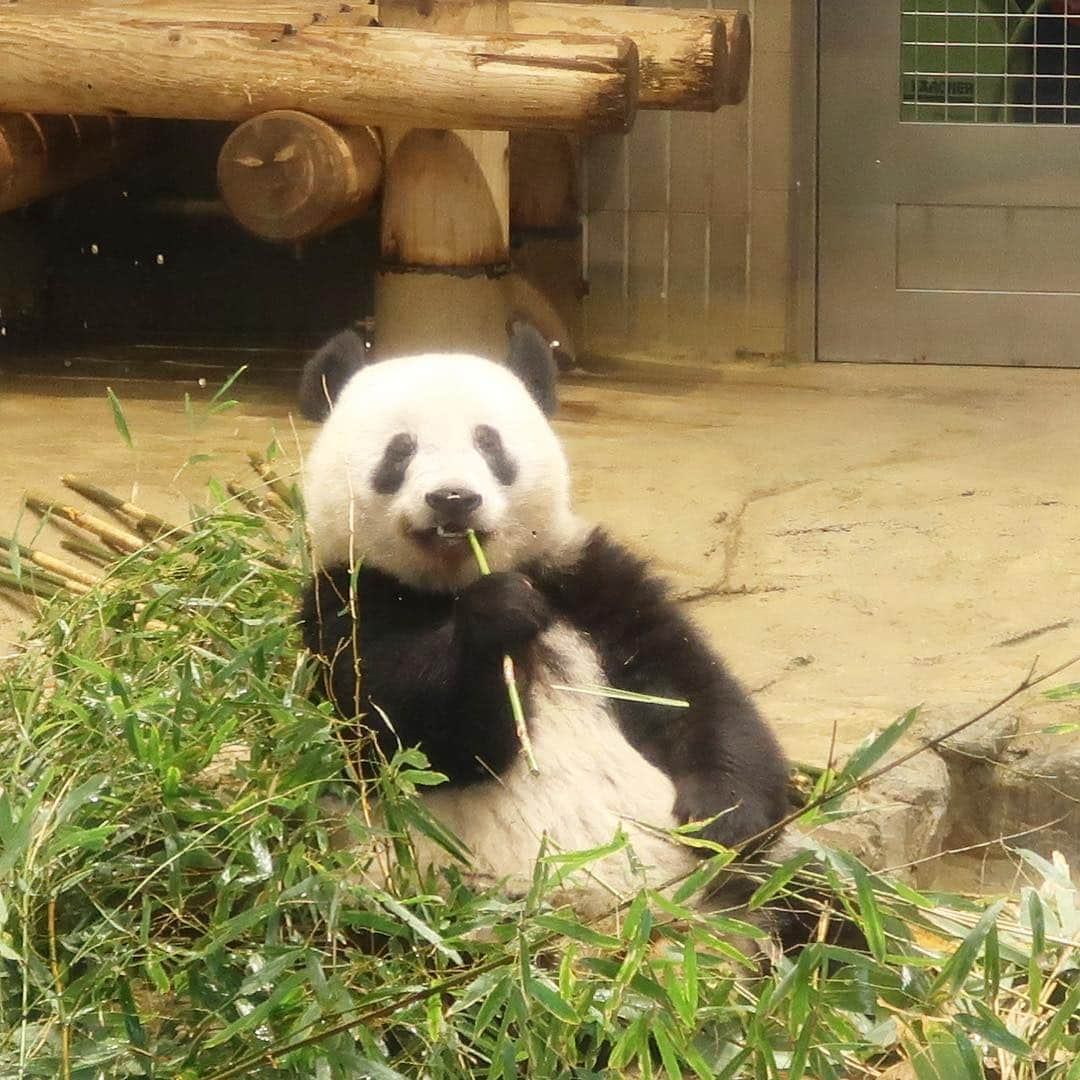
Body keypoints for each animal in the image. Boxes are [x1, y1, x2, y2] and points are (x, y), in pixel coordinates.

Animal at [295, 326, 825, 946]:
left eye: (489, 443)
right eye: (400, 450)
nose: (453, 499)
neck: (452, 584)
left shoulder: (586, 580)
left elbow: (690, 690)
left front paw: (724, 817)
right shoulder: (347, 601)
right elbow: (412, 734)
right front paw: (498, 617)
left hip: (764, 891)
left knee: (826, 908)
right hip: (425, 901)